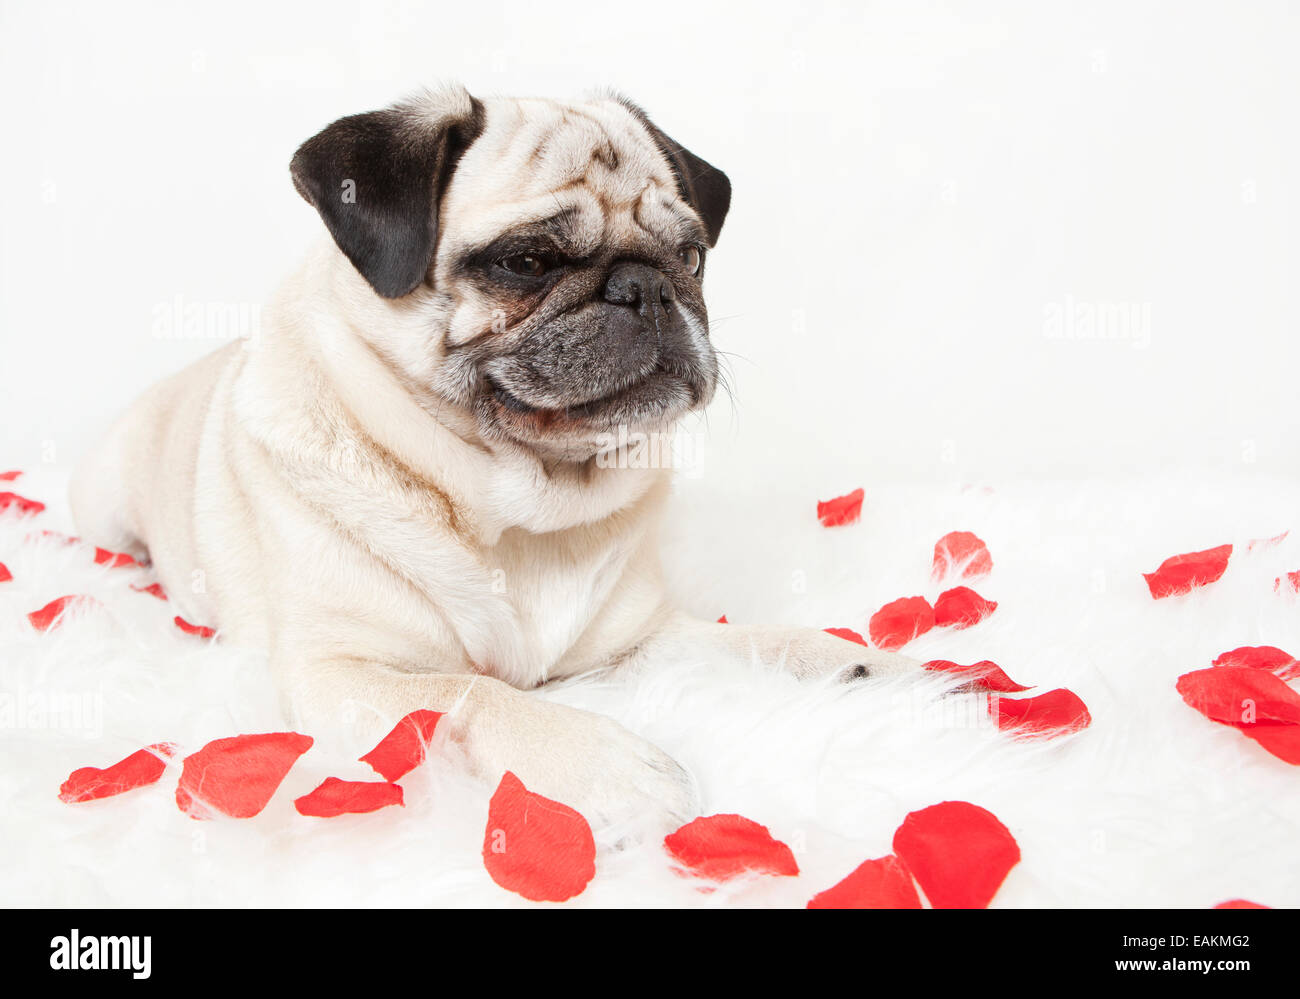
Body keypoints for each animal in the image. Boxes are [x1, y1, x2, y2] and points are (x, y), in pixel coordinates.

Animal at [68, 85, 915, 827]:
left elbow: (751, 642)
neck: (524, 503)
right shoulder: (340, 670)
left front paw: (863, 666)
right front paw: (603, 759)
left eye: (693, 257)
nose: (647, 289)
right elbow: (470, 693)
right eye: (527, 262)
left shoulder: (636, 641)